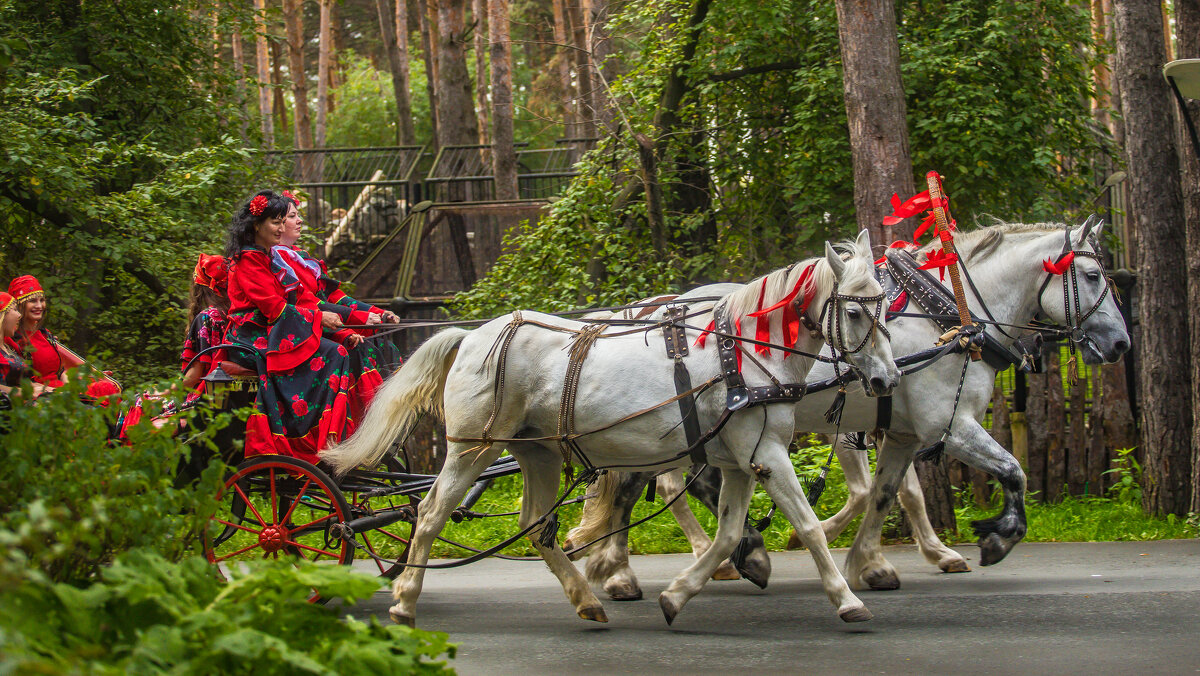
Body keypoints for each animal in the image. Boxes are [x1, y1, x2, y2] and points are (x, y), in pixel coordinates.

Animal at [321, 230, 902, 629]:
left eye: (885, 306)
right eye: (854, 311)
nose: (887, 379)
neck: (741, 355)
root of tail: (470, 337)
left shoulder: (739, 460)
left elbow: (728, 534)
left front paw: (678, 594)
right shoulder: (767, 456)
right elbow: (806, 525)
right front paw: (848, 600)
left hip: (536, 452)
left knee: (535, 523)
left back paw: (586, 599)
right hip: (472, 450)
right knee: (430, 513)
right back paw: (405, 602)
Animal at [566, 218, 1128, 597]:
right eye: (1092, 276)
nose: (1121, 343)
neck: (946, 314)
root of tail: (648, 308)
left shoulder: (898, 431)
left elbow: (887, 494)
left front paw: (877, 561)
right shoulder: (947, 426)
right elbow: (1013, 471)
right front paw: (998, 538)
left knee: (651, 486)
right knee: (643, 487)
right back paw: (630, 568)